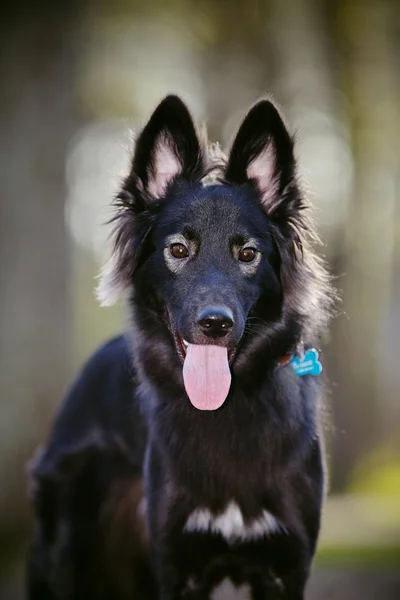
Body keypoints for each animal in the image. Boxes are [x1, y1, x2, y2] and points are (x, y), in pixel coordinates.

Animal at [28, 96, 332, 596]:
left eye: (248, 254)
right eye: (177, 249)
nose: (215, 324)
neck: (228, 409)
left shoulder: (287, 568)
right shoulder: (176, 566)